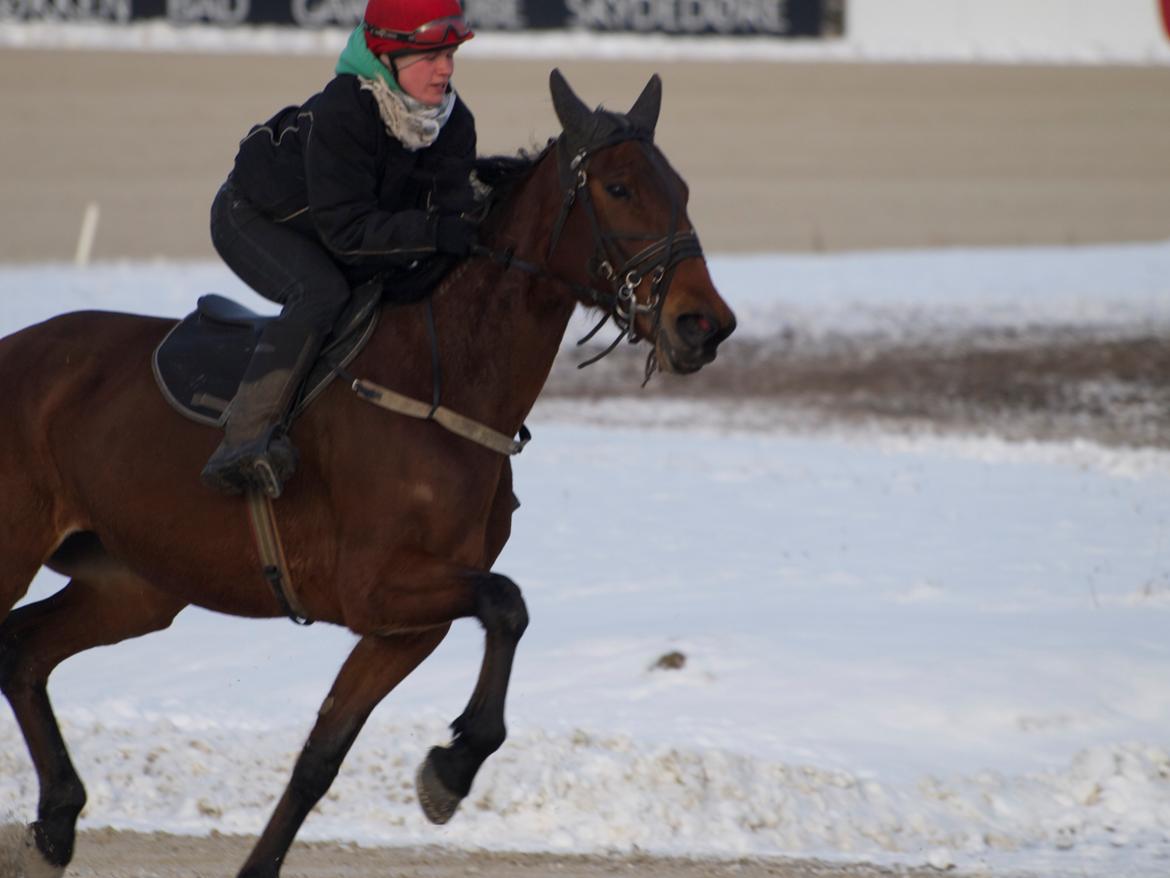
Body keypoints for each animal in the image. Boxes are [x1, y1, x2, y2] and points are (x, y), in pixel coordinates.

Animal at [0, 70, 730, 878]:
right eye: (618, 187)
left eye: (682, 188)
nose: (705, 324)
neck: (442, 383)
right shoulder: (373, 584)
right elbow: (507, 602)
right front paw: (453, 765)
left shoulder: (406, 624)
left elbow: (323, 753)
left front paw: (445, 770)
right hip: (23, 549)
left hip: (136, 582)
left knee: (22, 650)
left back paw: (57, 821)